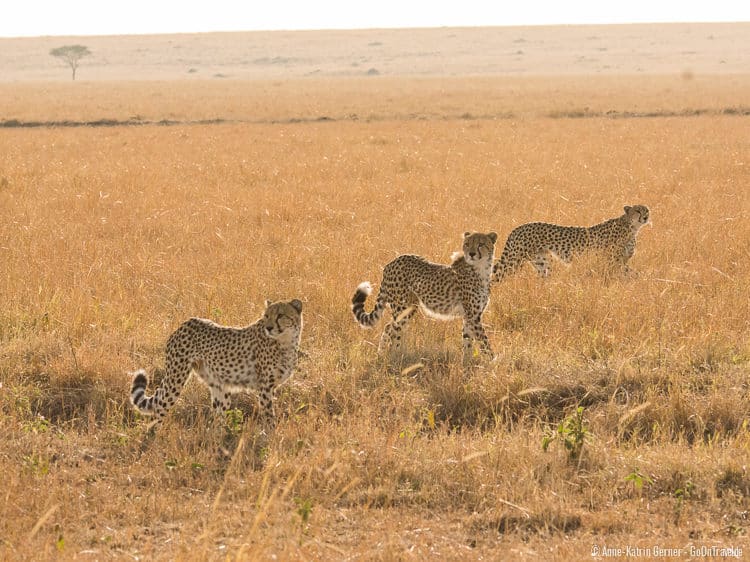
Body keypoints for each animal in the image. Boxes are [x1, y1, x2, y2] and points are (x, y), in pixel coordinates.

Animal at [129, 298, 302, 428]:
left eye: (280, 315)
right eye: (266, 316)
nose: (269, 327)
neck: (285, 342)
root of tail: (186, 322)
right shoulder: (265, 387)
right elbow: (268, 416)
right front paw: (269, 438)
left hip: (219, 387)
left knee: (217, 420)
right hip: (175, 379)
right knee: (159, 409)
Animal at [352, 230, 500, 360]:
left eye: (481, 244)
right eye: (467, 244)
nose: (471, 253)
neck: (481, 269)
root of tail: (391, 263)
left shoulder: (470, 316)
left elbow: (467, 341)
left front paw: (467, 362)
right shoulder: (473, 316)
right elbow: (484, 341)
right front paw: (493, 362)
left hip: (410, 306)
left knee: (389, 327)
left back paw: (382, 354)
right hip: (401, 307)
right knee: (395, 331)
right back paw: (397, 356)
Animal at [494, 203, 652, 280]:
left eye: (647, 210)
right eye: (638, 211)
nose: (645, 217)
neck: (632, 227)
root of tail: (518, 227)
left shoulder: (619, 262)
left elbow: (631, 274)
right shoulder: (612, 261)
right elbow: (630, 274)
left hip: (542, 263)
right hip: (513, 262)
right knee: (496, 277)